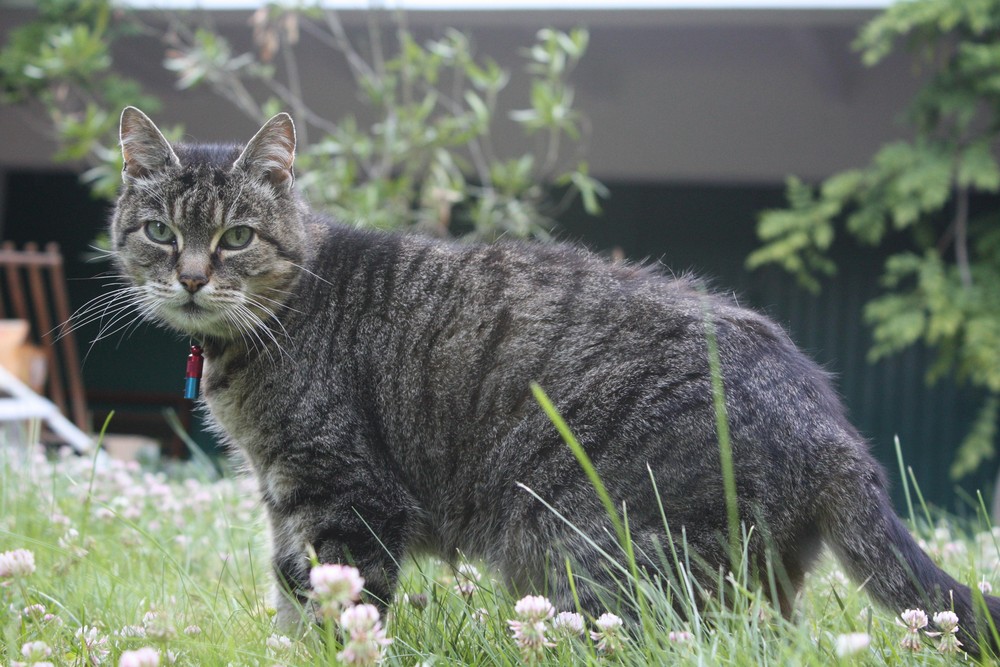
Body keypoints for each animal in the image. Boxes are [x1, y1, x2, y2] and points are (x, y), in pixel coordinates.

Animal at [109, 108, 1000, 652]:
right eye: (159, 232)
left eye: (236, 237)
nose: (192, 278)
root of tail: (830, 419)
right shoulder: (288, 506)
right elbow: (295, 600)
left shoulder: (345, 500)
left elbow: (341, 610)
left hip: (606, 555)